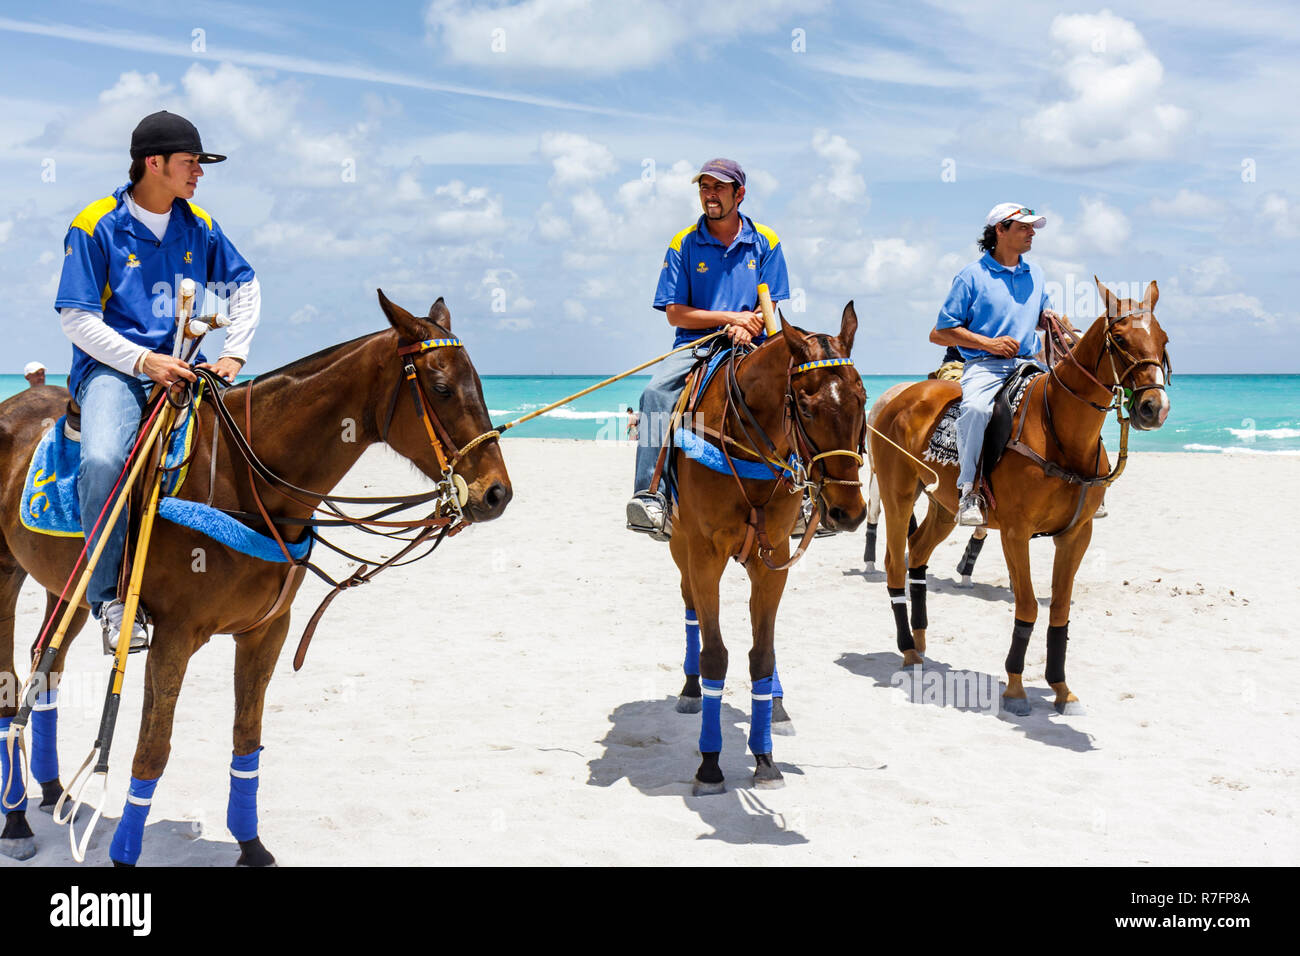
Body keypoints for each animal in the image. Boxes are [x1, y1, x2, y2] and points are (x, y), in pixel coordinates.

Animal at [0, 291, 509, 868]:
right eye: (441, 389)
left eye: (482, 385)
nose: (496, 493)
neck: (245, 480)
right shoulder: (173, 636)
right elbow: (151, 750)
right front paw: (125, 853)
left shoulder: (267, 631)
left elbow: (247, 741)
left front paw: (252, 845)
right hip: (6, 573)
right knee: (11, 685)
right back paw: (16, 820)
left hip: (66, 589)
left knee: (45, 669)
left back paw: (48, 790)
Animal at [665, 304, 868, 790]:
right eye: (806, 408)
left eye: (863, 398)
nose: (848, 512)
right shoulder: (704, 555)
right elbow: (715, 654)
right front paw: (710, 762)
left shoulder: (773, 556)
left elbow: (762, 655)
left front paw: (765, 759)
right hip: (680, 549)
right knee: (689, 607)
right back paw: (690, 688)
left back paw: (776, 705)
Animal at [873, 277, 1170, 717]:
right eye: (1119, 339)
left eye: (1162, 339)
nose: (1154, 408)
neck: (1060, 432)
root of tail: (898, 397)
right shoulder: (1016, 533)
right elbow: (1028, 606)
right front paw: (1015, 688)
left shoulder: (1076, 535)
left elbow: (1059, 611)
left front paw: (1062, 689)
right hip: (898, 495)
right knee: (895, 562)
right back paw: (908, 649)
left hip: (943, 505)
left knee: (918, 554)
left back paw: (922, 641)